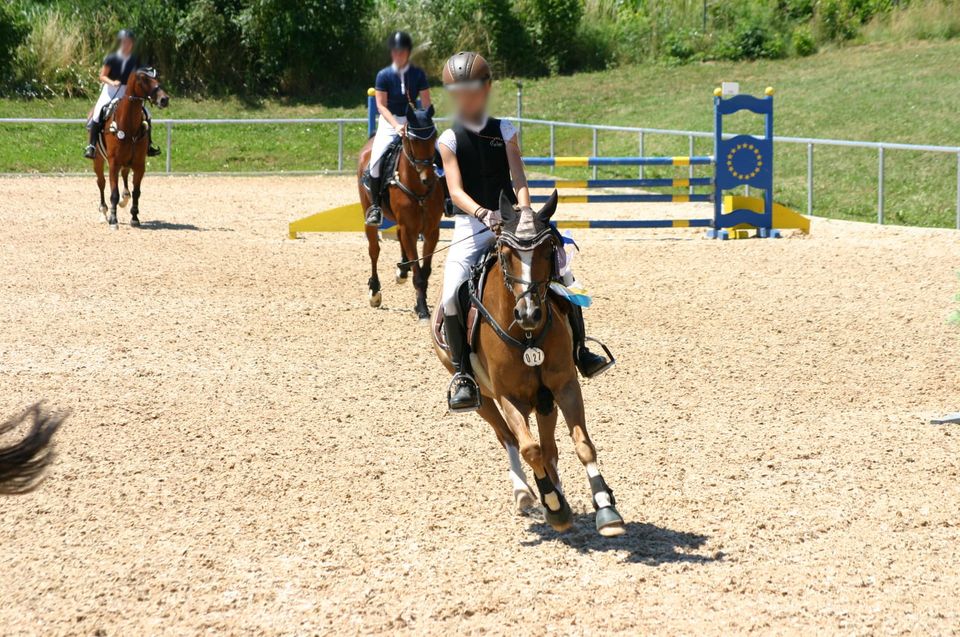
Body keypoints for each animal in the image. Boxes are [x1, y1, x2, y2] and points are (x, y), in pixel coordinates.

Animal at [94, 69, 171, 229]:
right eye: (143, 79)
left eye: (156, 77)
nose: (164, 99)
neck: (128, 125)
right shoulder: (113, 164)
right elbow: (113, 193)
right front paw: (113, 220)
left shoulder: (139, 165)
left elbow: (136, 192)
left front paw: (135, 218)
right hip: (97, 160)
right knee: (101, 183)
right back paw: (103, 211)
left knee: (124, 176)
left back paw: (125, 198)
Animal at [356, 107, 442, 322]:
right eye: (413, 140)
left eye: (434, 136)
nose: (428, 179)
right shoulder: (410, 229)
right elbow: (418, 274)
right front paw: (422, 309)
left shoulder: (431, 231)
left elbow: (425, 270)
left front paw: (420, 302)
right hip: (369, 216)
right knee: (374, 250)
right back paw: (375, 291)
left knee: (398, 237)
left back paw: (402, 269)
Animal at [432, 191, 628, 536]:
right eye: (506, 253)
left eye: (547, 250)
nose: (529, 314)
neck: (527, 337)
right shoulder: (509, 396)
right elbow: (528, 449)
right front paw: (553, 506)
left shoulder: (564, 385)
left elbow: (582, 444)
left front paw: (605, 508)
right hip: (486, 399)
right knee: (509, 439)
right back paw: (525, 493)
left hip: (543, 399)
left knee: (549, 449)